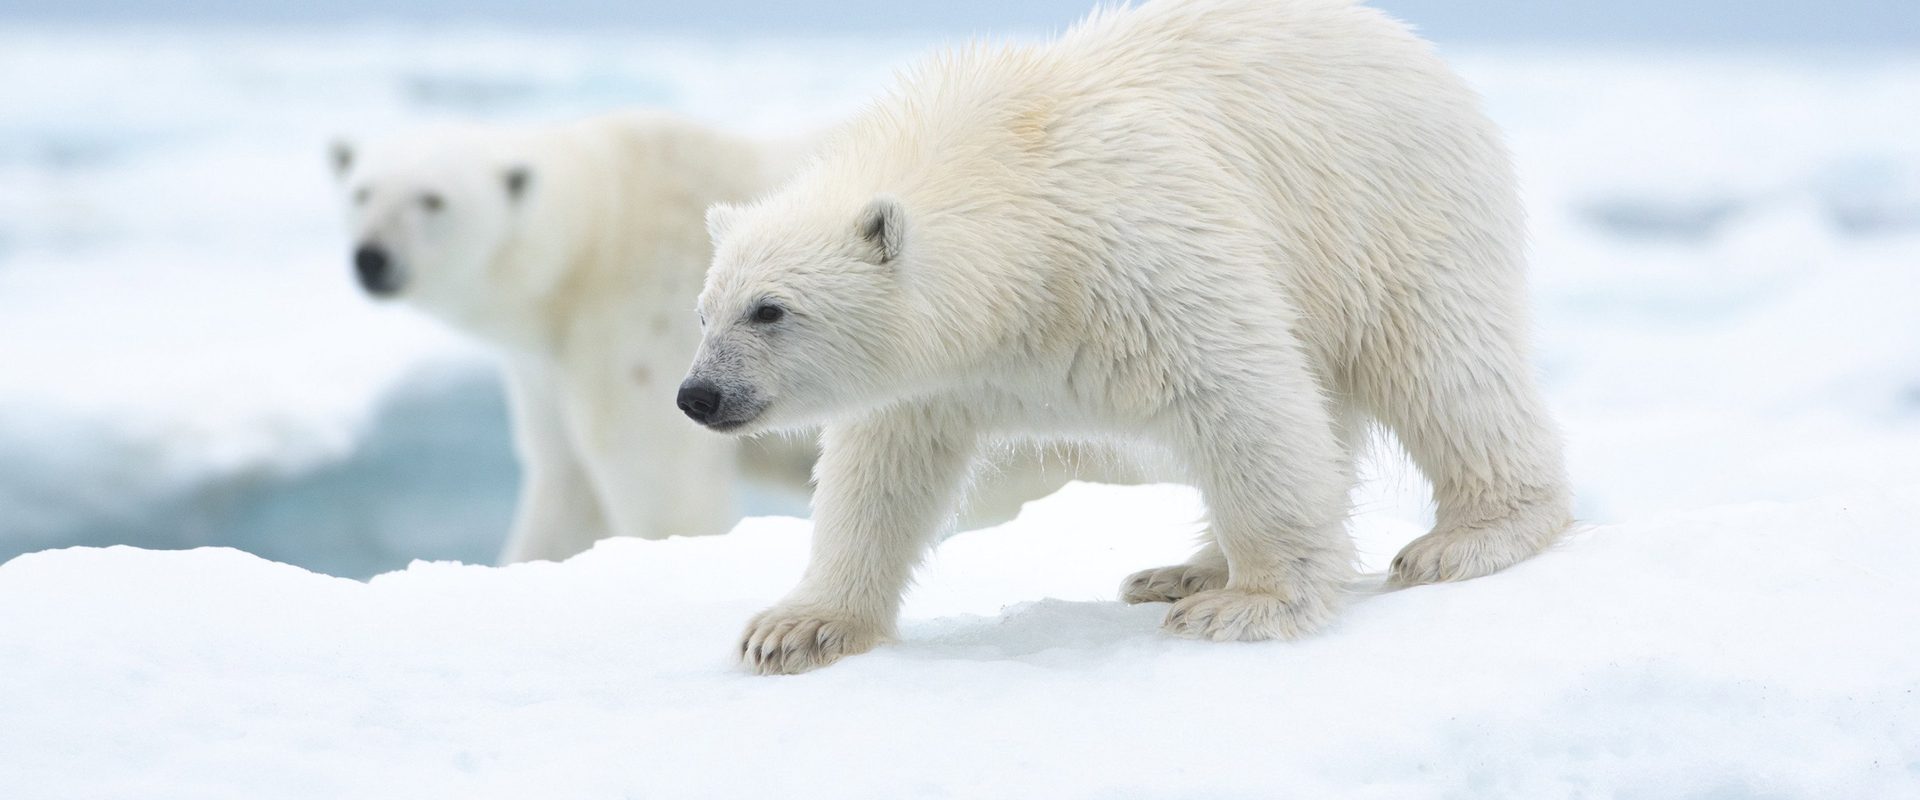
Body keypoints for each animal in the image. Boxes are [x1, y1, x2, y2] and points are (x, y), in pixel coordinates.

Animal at [333, 112, 1119, 564]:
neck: (598, 231)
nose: (371, 258)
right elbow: (563, 483)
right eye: (361, 190)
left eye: (432, 199)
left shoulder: (638, 322)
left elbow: (661, 488)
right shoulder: (550, 367)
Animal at [684, 0, 1573, 674]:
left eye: (770, 309)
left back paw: (1467, 539)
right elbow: (880, 471)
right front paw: (797, 627)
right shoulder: (938, 375)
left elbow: (1242, 398)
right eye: (704, 310)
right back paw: (1181, 570)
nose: (699, 394)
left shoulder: (1138, 259)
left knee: (1439, 364)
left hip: (1390, 215)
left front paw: (1248, 606)